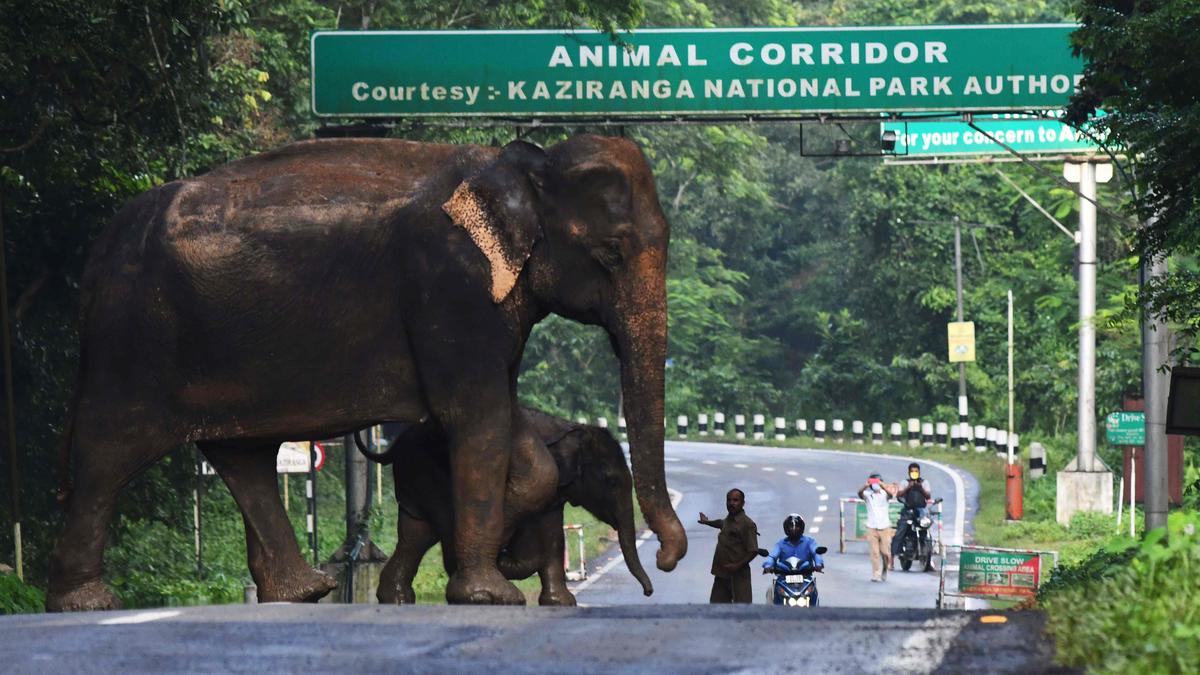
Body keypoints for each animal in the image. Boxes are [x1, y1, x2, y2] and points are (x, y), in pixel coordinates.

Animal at [369, 408, 653, 606]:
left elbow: (553, 536)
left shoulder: (553, 491)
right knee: (442, 526)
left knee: (415, 535)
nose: (648, 592)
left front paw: (561, 603)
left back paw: (397, 599)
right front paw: (506, 563)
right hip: (431, 474)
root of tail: (395, 446)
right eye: (612, 481)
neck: (572, 428)